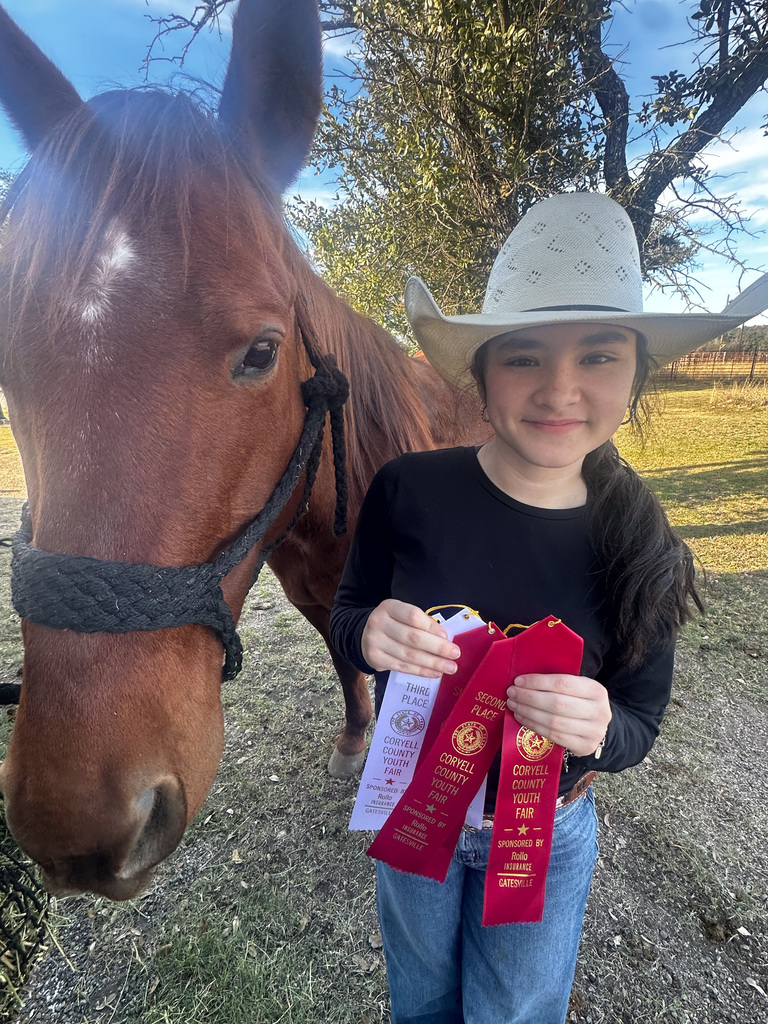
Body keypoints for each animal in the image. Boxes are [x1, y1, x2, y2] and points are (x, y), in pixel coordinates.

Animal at [0, 0, 487, 900]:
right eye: (7, 363)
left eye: (263, 351)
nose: (77, 823)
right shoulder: (316, 597)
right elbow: (344, 662)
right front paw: (355, 741)